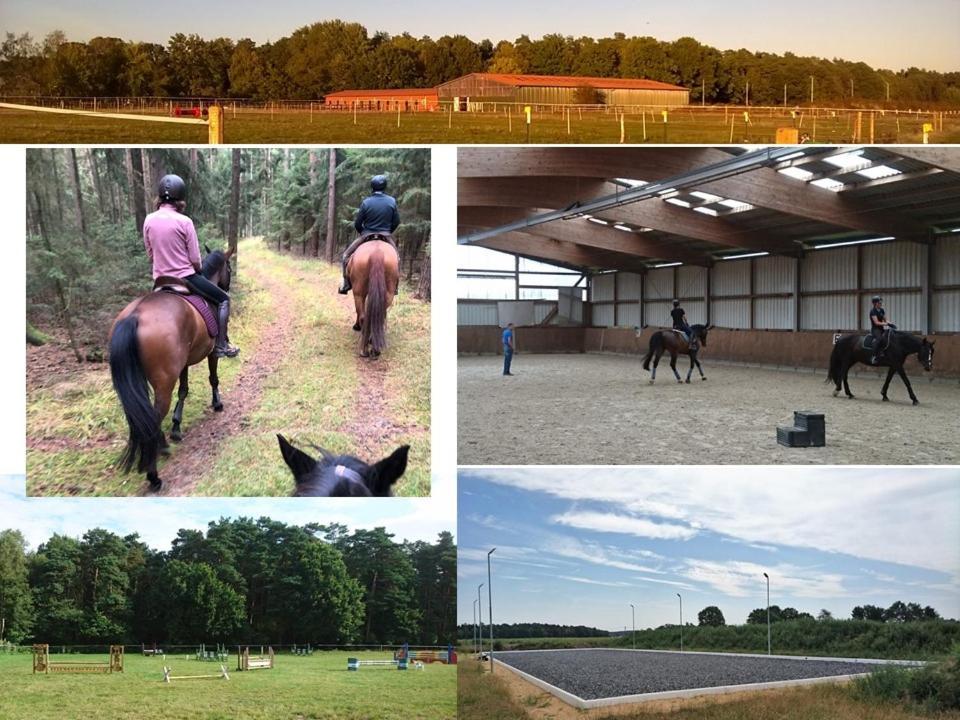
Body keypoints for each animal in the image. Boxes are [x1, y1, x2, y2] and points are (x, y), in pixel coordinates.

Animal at [109, 248, 234, 490]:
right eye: (229, 268)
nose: (227, 287)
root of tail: (135, 314)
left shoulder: (183, 362)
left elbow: (184, 390)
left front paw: (176, 426)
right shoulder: (212, 353)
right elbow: (213, 378)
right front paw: (217, 404)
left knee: (143, 415)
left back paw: (163, 447)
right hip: (164, 380)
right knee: (153, 416)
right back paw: (153, 475)